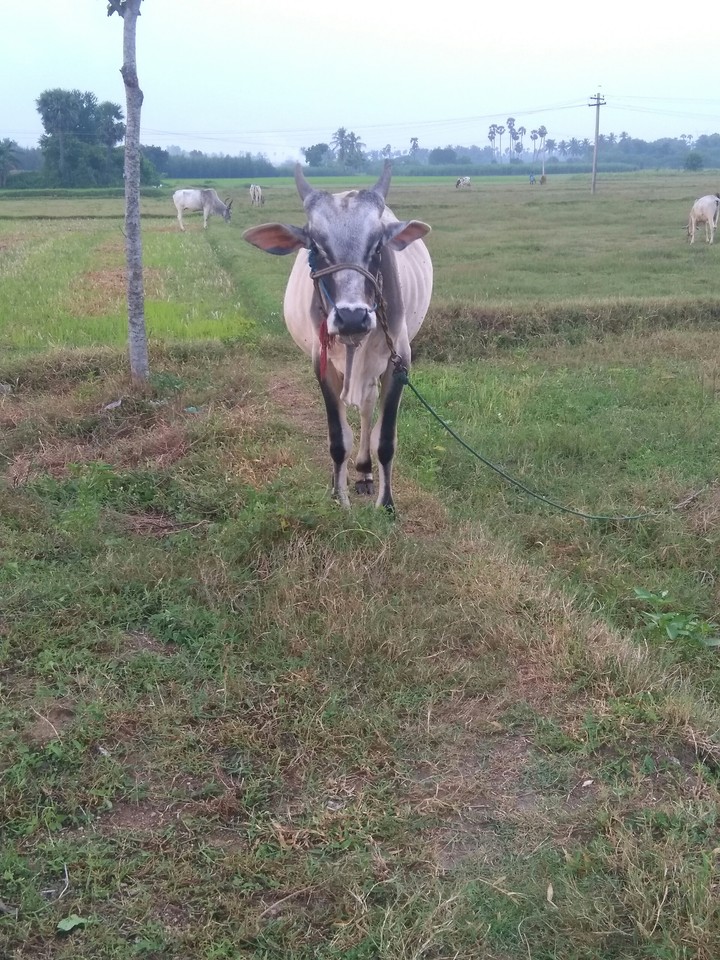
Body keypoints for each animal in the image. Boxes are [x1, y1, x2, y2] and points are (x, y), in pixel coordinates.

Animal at [243, 162, 433, 511]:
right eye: (315, 246)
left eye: (377, 246)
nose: (352, 317)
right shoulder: (322, 364)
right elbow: (337, 438)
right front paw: (337, 495)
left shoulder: (399, 360)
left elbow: (385, 440)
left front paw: (387, 503)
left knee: (368, 406)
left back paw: (365, 471)